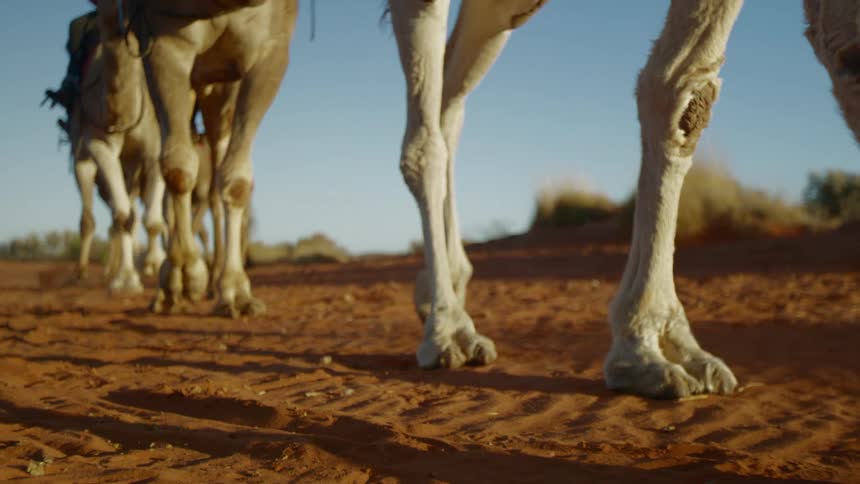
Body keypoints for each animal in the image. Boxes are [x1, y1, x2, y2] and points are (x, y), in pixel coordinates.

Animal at [94, 0, 297, 316]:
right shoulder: (163, 39)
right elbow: (177, 169)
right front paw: (183, 276)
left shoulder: (271, 46)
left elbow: (236, 180)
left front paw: (236, 293)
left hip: (219, 91)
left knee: (217, 171)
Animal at [388, 0, 859, 398]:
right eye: (851, 64)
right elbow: (678, 85)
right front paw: (645, 352)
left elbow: (687, 90)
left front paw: (666, 349)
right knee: (426, 137)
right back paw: (449, 329)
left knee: (448, 101)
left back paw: (440, 289)